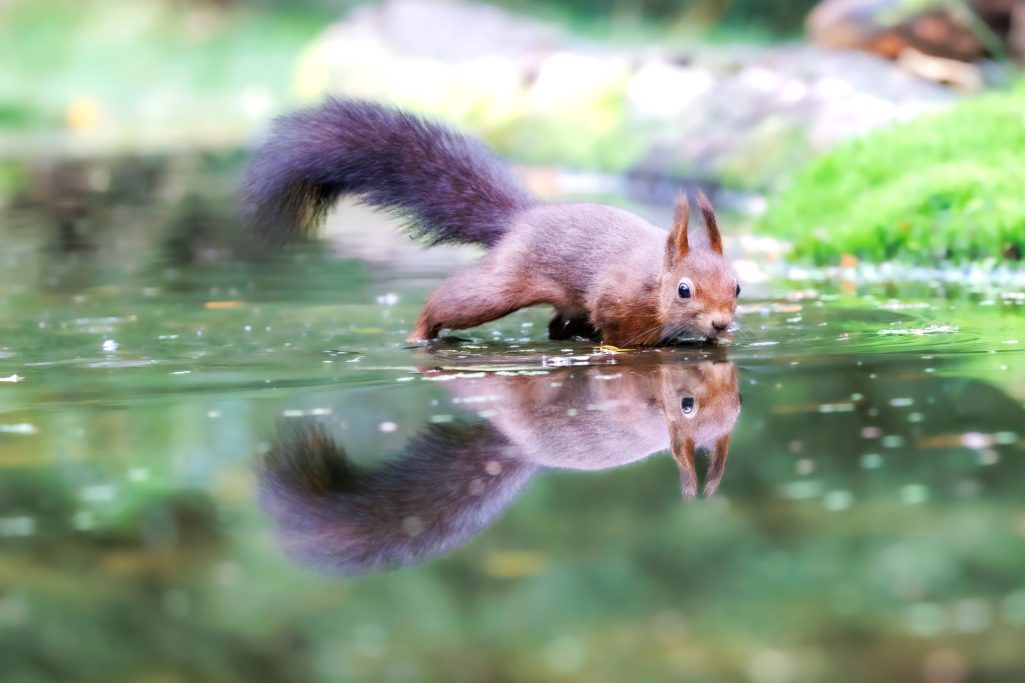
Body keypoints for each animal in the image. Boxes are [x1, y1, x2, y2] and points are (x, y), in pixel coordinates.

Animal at [239, 97, 738, 342]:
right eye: (683, 290)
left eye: (737, 287)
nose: (720, 323)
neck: (654, 278)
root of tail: (525, 217)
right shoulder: (618, 300)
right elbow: (621, 336)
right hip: (500, 286)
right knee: (452, 301)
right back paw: (420, 334)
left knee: (555, 325)